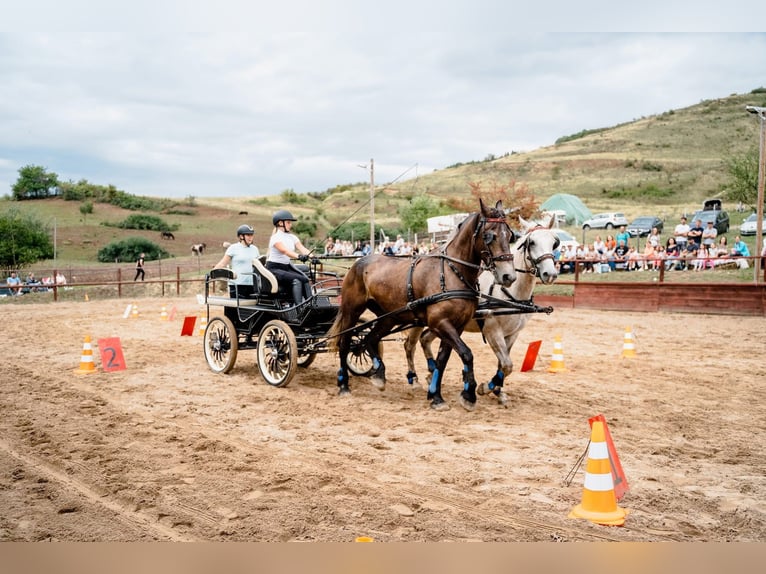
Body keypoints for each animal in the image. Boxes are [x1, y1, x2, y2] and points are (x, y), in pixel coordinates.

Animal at [326, 199, 517, 411]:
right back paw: (343, 384)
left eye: (510, 235)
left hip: (389, 317)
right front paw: (468, 394)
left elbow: (442, 361)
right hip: (351, 311)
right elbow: (467, 354)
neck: (451, 272)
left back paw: (379, 375)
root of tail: (359, 262)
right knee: (345, 343)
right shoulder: (440, 323)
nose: (509, 276)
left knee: (369, 339)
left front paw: (436, 396)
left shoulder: (456, 326)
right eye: (489, 235)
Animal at [403, 215, 560, 407]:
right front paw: (485, 388)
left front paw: (499, 391)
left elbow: (503, 364)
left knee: (425, 339)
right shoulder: (492, 330)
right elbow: (507, 364)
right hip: (418, 321)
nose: (550, 274)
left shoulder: (512, 333)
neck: (509, 292)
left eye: (554, 242)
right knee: (409, 345)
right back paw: (414, 379)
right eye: (532, 242)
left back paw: (431, 373)